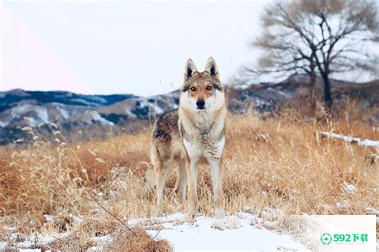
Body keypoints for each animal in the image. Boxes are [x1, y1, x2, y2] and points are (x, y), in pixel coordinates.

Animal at [151, 57, 227, 219]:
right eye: (193, 89)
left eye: (209, 87)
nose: (200, 102)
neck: (203, 130)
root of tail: (159, 118)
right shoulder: (193, 161)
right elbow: (193, 194)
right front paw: (191, 216)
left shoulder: (215, 161)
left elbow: (218, 195)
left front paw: (220, 217)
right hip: (166, 166)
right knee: (157, 195)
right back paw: (157, 215)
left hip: (183, 166)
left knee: (177, 190)